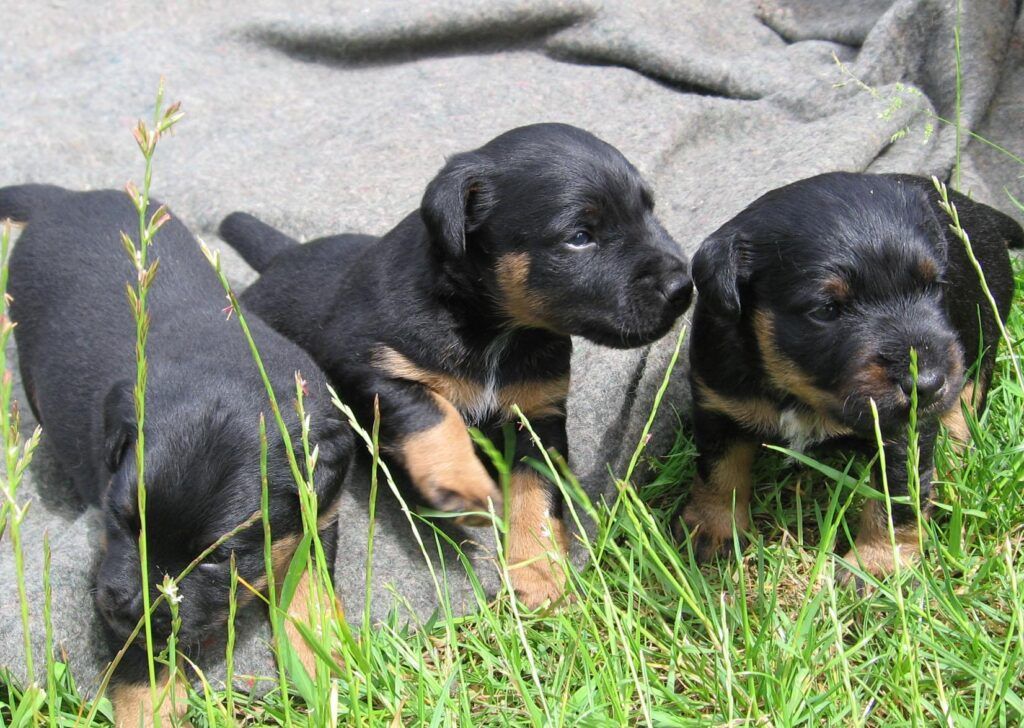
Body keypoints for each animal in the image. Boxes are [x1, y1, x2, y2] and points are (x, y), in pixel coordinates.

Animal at [2, 186, 352, 728]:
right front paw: (150, 705)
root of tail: (61, 198)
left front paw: (321, 662)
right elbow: (142, 656)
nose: (126, 611)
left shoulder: (321, 511)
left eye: (218, 559)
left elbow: (308, 584)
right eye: (123, 523)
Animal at [219, 122, 692, 606]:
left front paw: (539, 571)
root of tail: (280, 256)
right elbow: (435, 414)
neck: (499, 329)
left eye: (648, 209)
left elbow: (539, 492)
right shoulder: (367, 367)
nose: (683, 286)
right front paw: (463, 486)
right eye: (579, 236)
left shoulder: (537, 413)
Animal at [675, 172, 1019, 581]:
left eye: (933, 286)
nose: (928, 384)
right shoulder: (719, 405)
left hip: (980, 343)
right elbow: (718, 473)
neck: (799, 391)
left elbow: (897, 499)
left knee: (963, 409)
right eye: (826, 310)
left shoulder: (901, 432)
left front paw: (877, 566)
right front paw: (711, 531)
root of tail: (980, 210)